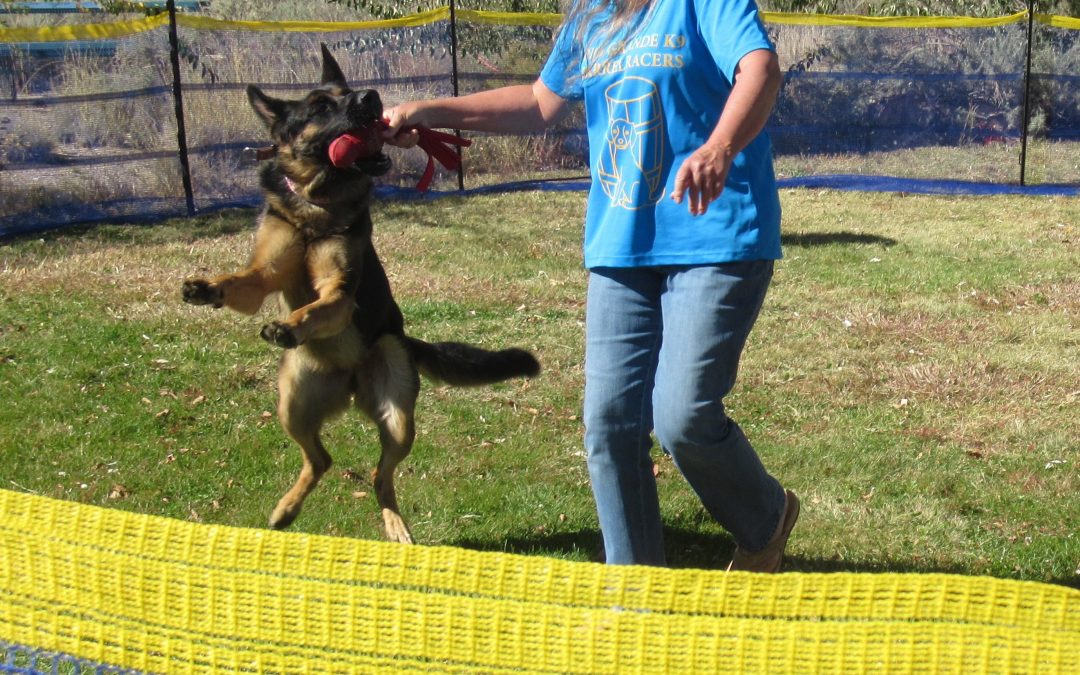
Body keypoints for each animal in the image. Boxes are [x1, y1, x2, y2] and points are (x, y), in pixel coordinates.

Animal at [184, 46, 544, 542]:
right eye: (320, 107)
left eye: (347, 92)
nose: (371, 98)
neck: (317, 203)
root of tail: (351, 381)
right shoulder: (262, 275)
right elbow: (239, 281)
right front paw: (205, 288)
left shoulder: (340, 293)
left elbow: (319, 307)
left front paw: (290, 325)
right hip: (292, 402)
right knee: (322, 459)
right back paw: (286, 510)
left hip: (397, 415)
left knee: (379, 476)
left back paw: (395, 525)